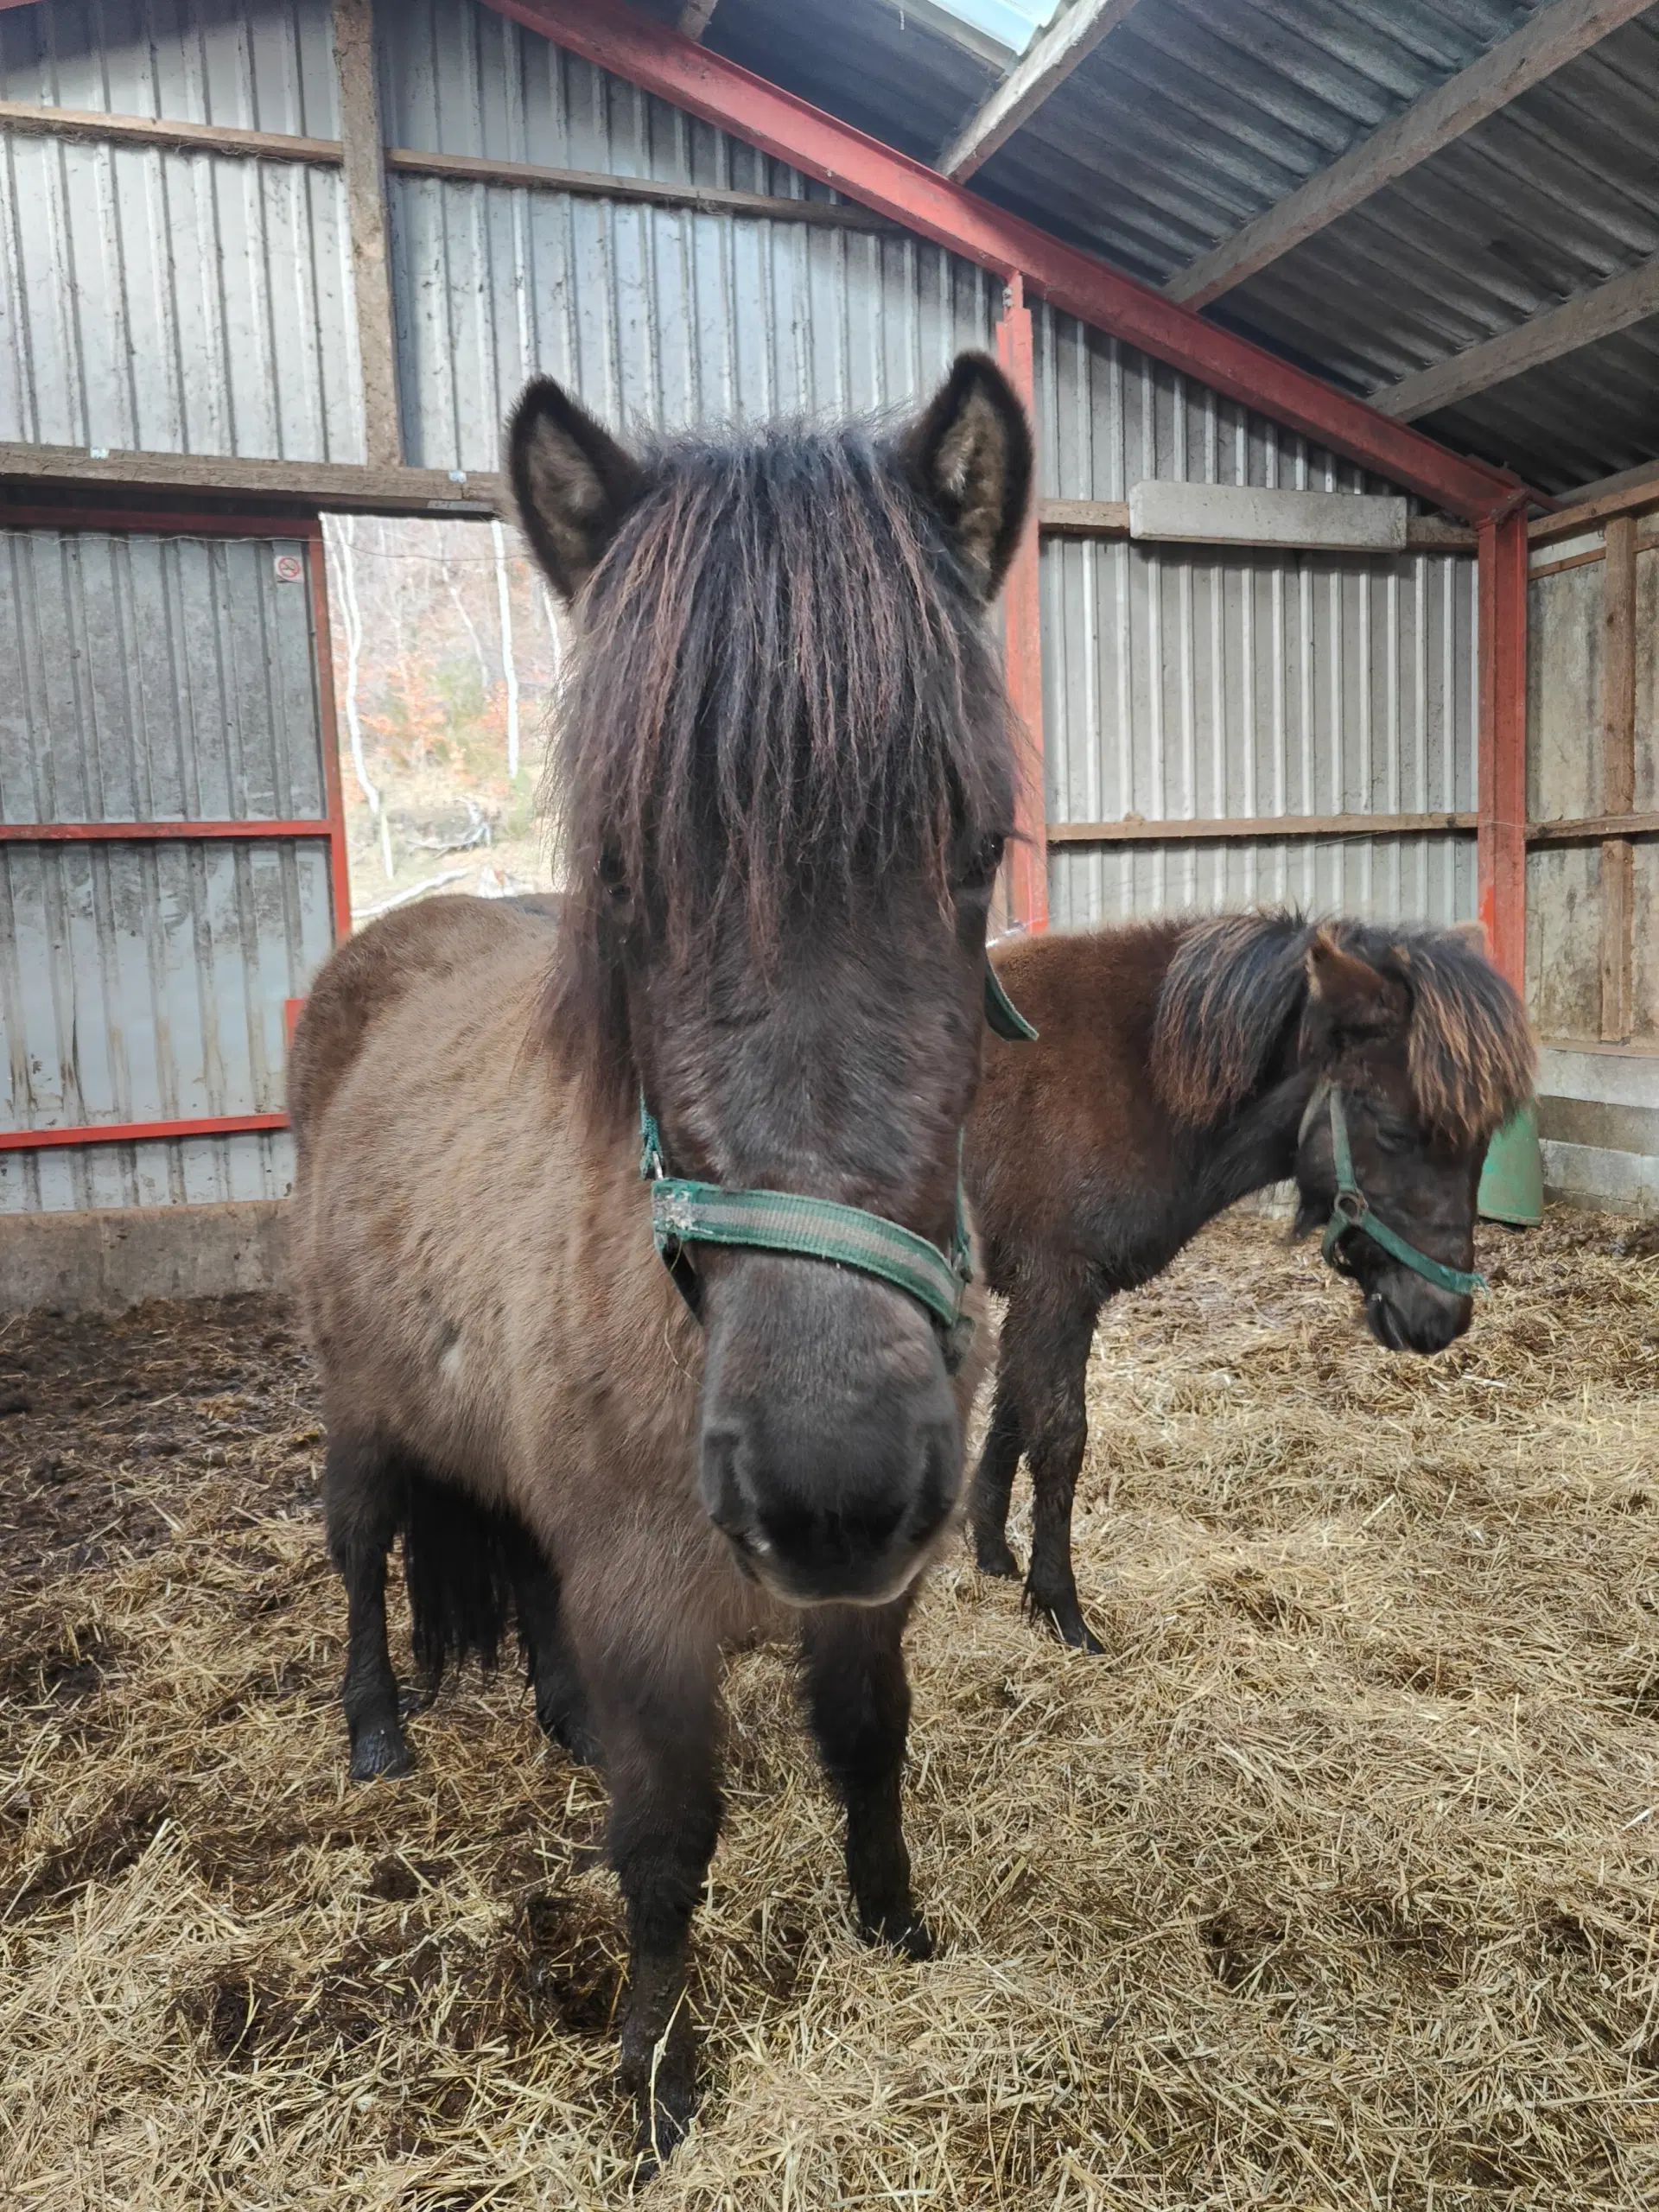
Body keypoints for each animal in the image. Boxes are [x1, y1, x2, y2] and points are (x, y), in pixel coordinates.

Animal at [973, 906, 1530, 1654]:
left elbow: (1012, 1415)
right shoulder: (1056, 1289)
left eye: (1484, 1141)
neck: (1138, 1073)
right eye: (1392, 1127)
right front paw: (1061, 1607)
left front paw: (993, 1556)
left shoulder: (1033, 1297)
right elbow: (1059, 1436)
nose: (1438, 1319)